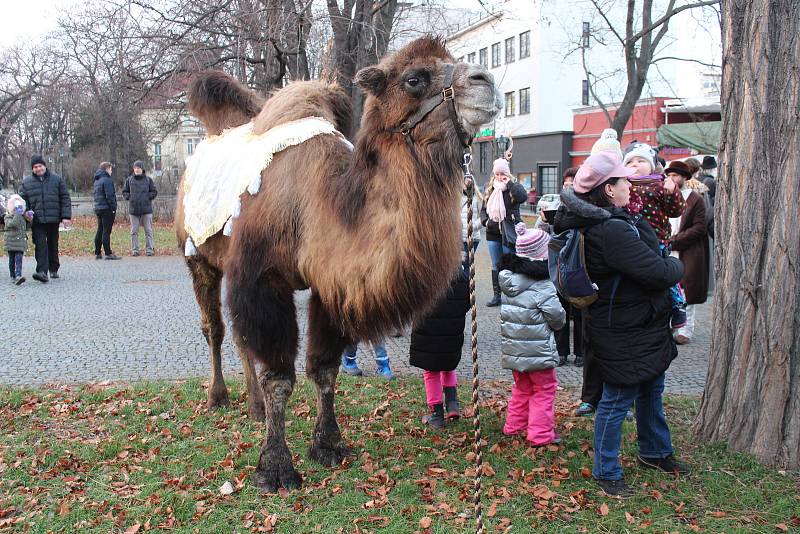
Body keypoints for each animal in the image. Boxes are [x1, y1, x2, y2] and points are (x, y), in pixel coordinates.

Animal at [175, 35, 500, 492]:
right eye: (414, 79)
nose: (485, 79)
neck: (319, 202)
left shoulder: (331, 283)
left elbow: (324, 368)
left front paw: (328, 445)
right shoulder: (262, 278)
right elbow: (281, 377)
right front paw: (275, 468)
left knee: (239, 336)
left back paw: (253, 406)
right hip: (198, 255)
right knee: (216, 328)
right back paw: (217, 397)